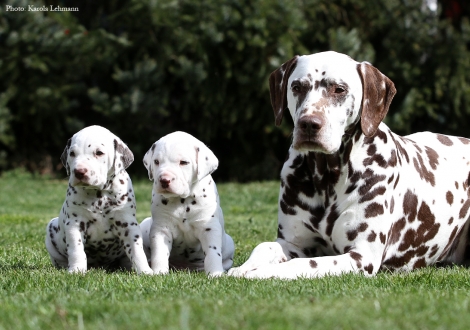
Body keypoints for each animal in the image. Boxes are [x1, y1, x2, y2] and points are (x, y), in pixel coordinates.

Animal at [45, 125, 151, 274]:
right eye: (72, 153)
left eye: (99, 153)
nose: (79, 172)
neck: (100, 195)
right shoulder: (74, 224)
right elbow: (76, 250)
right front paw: (77, 270)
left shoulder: (128, 224)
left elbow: (136, 250)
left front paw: (145, 271)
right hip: (51, 228)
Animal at [140, 131, 235, 276]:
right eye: (156, 162)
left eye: (183, 162)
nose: (164, 180)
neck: (183, 200)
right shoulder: (161, 229)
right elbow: (159, 253)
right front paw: (159, 272)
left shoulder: (209, 228)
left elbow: (213, 253)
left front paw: (215, 274)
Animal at [229, 51, 470, 278]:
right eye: (297, 87)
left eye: (339, 89)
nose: (309, 124)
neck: (327, 178)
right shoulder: (292, 243)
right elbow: (264, 247)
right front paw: (242, 268)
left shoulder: (361, 257)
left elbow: (301, 264)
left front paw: (263, 273)